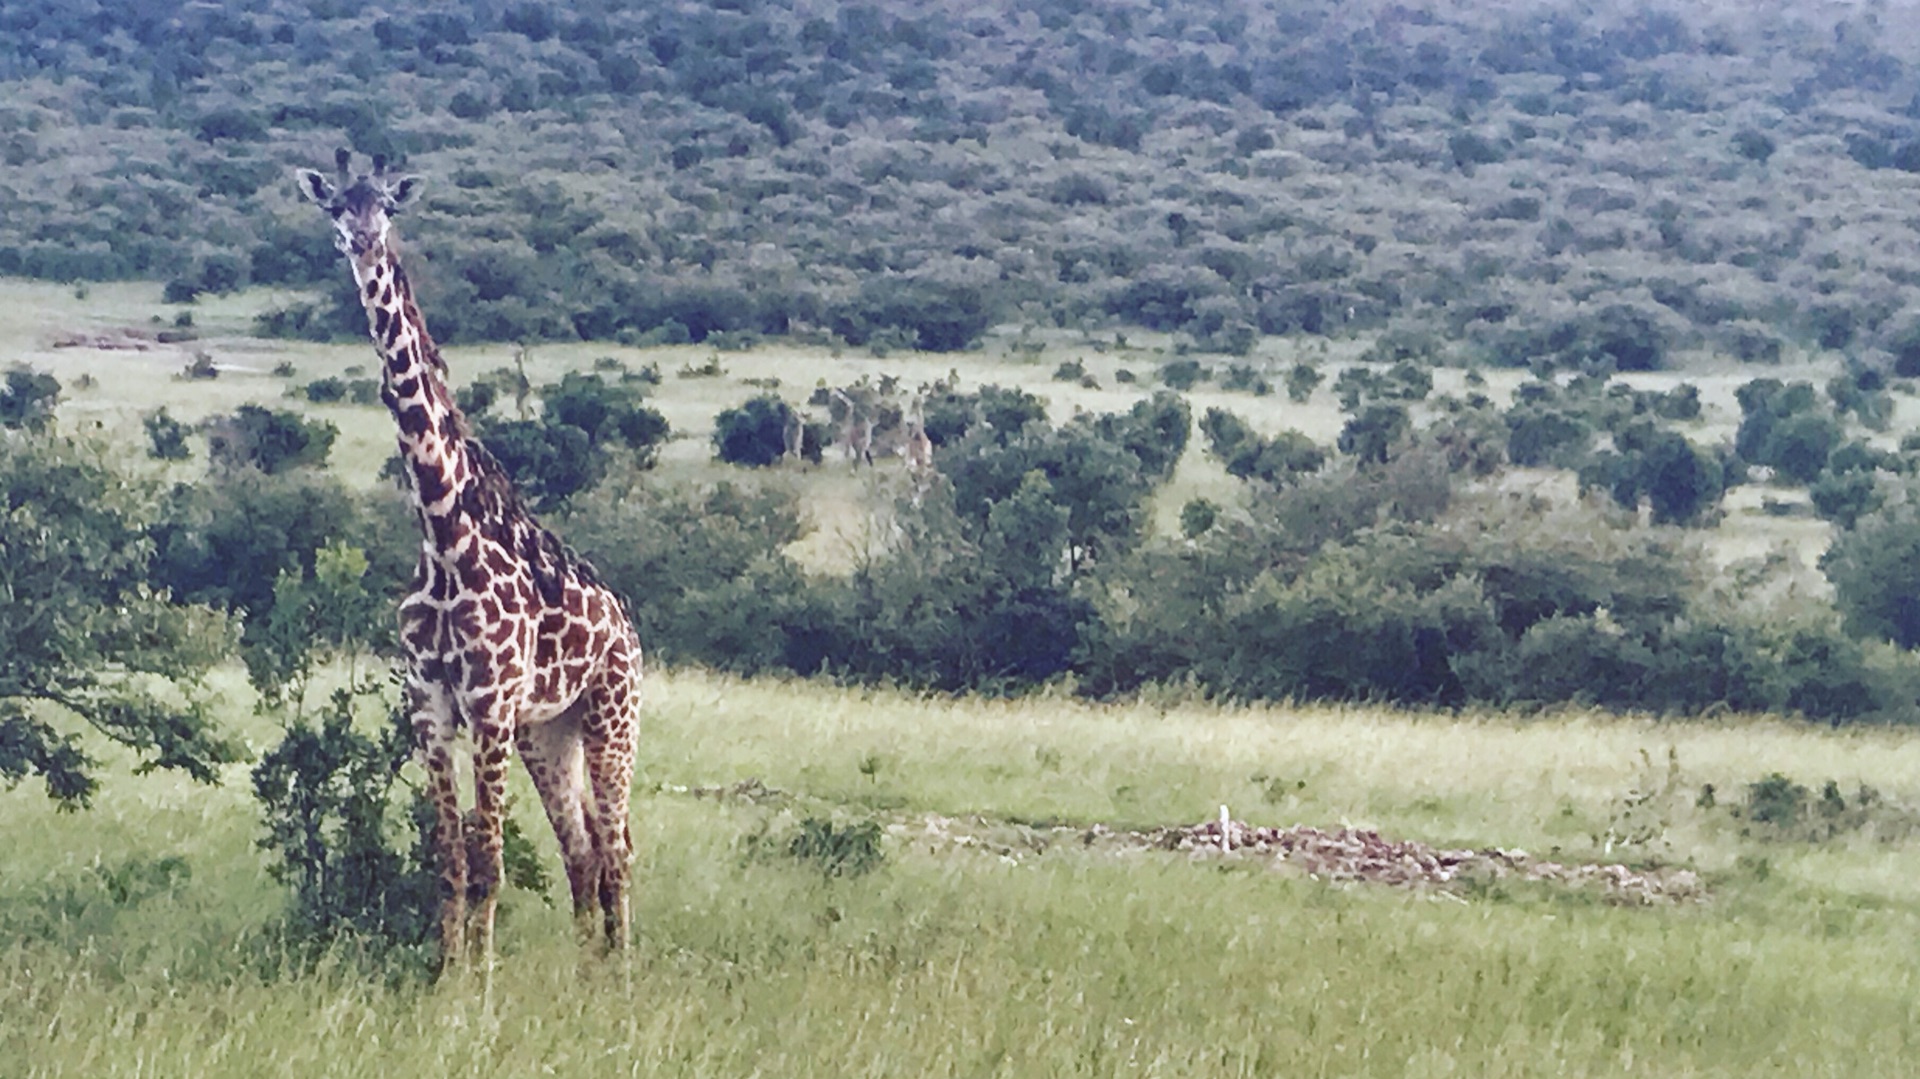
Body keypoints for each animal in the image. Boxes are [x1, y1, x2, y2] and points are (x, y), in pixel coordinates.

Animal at [299, 153, 641, 975]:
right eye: (337, 206)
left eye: (388, 206)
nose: (362, 242)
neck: (443, 534)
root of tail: (627, 621)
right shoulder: (430, 706)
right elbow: (449, 855)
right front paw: (446, 975)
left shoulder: (487, 704)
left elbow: (489, 856)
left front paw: (478, 984)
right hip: (549, 732)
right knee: (584, 849)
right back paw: (586, 973)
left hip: (613, 716)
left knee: (619, 847)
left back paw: (621, 973)